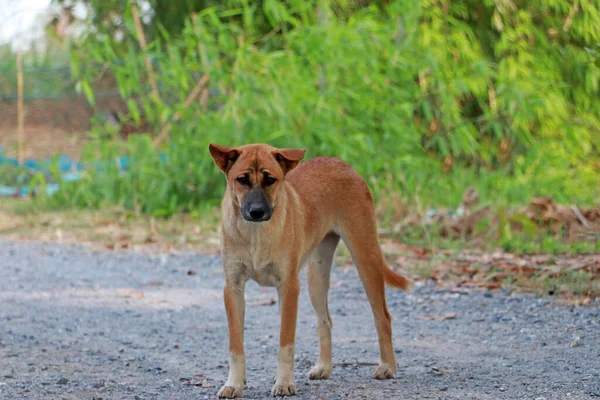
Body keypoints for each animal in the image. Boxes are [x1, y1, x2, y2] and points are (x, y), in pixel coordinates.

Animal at [209, 143, 410, 396]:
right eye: (242, 180)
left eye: (271, 180)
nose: (256, 212)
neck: (255, 234)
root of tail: (341, 163)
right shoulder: (233, 288)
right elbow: (236, 346)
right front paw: (234, 384)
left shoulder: (288, 287)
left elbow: (285, 343)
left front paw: (284, 383)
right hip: (317, 278)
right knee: (325, 321)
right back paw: (324, 367)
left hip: (366, 258)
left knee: (382, 316)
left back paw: (387, 366)